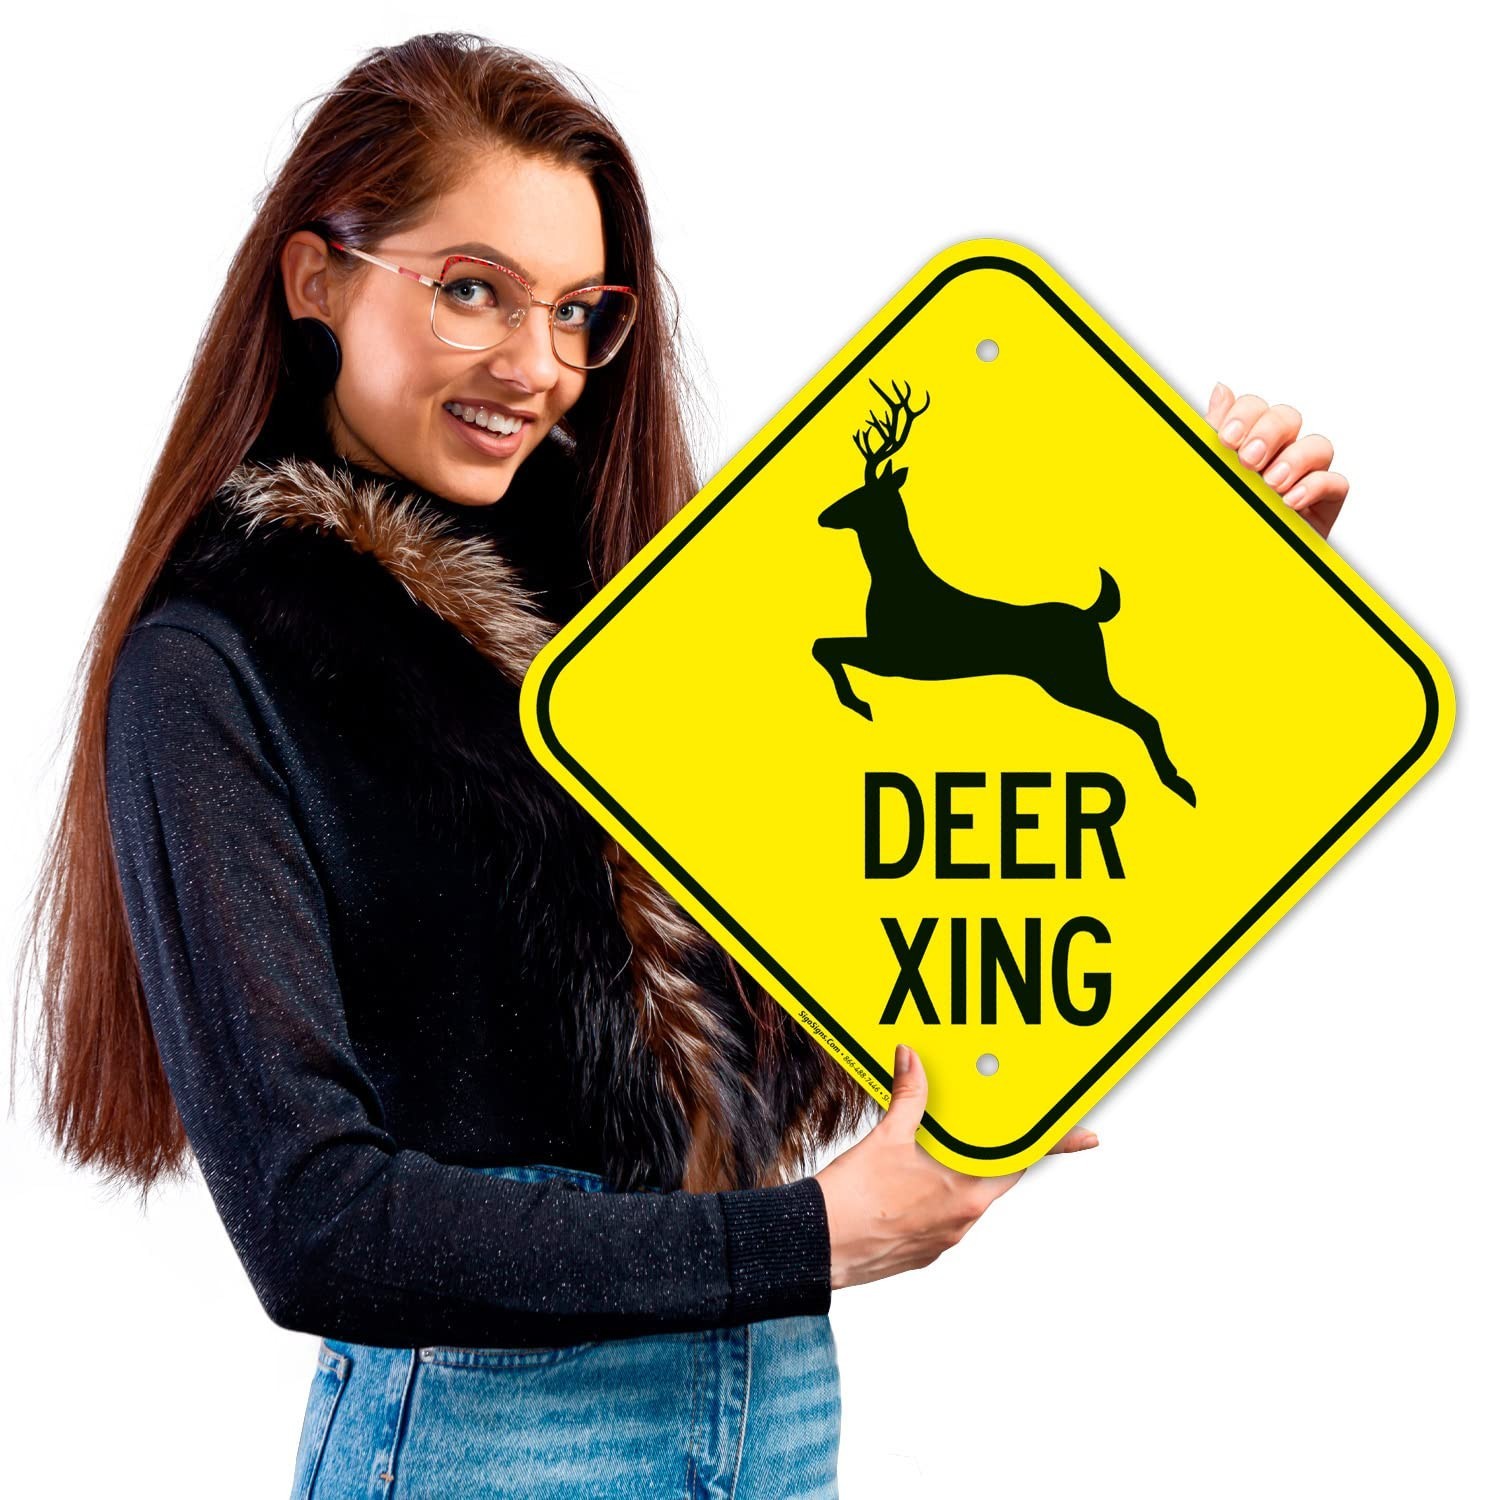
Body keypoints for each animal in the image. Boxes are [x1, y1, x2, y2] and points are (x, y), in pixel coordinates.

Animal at [812, 378, 1197, 807]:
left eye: (862, 494)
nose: (823, 515)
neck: (894, 581)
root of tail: (1090, 615)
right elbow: (823, 645)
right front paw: (857, 702)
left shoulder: (896, 655)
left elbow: (824, 647)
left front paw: (860, 704)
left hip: (1077, 679)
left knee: (1144, 716)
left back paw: (1180, 784)